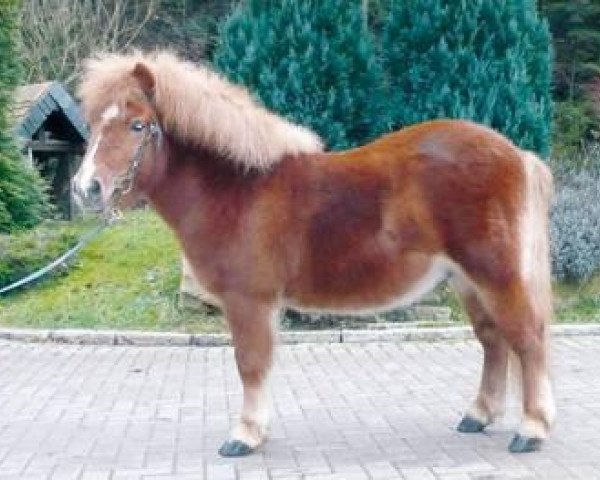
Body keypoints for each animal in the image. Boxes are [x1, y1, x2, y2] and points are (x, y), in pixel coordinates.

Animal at [72, 52, 556, 458]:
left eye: (138, 125)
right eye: (94, 123)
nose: (85, 189)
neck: (237, 188)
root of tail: (517, 154)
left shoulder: (248, 301)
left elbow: (249, 363)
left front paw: (244, 436)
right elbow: (261, 364)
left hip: (496, 276)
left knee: (527, 340)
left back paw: (531, 430)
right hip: (467, 281)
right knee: (493, 341)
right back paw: (478, 416)